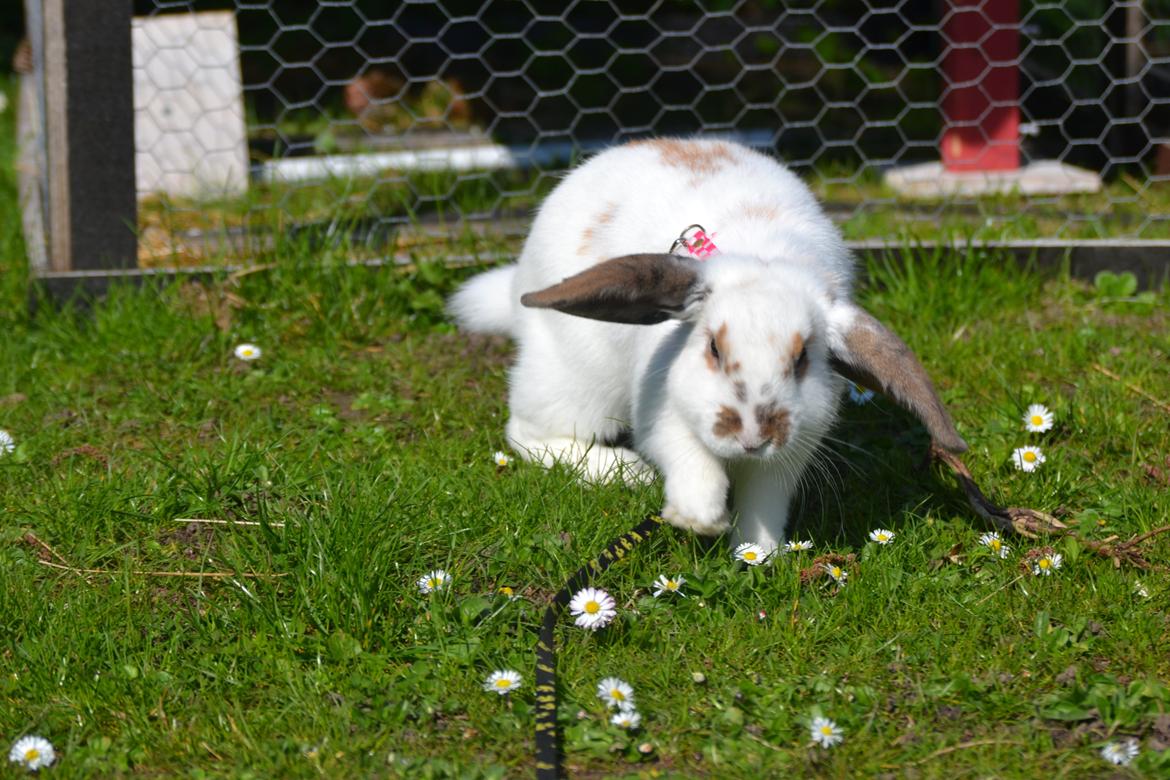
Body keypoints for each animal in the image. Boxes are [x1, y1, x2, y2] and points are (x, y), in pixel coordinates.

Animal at [449, 140, 968, 554]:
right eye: (713, 348)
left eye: (802, 359)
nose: (754, 438)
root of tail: (517, 286)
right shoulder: (663, 413)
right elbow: (688, 458)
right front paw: (700, 519)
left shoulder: (792, 451)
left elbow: (765, 500)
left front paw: (757, 552)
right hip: (573, 382)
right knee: (526, 433)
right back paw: (628, 471)